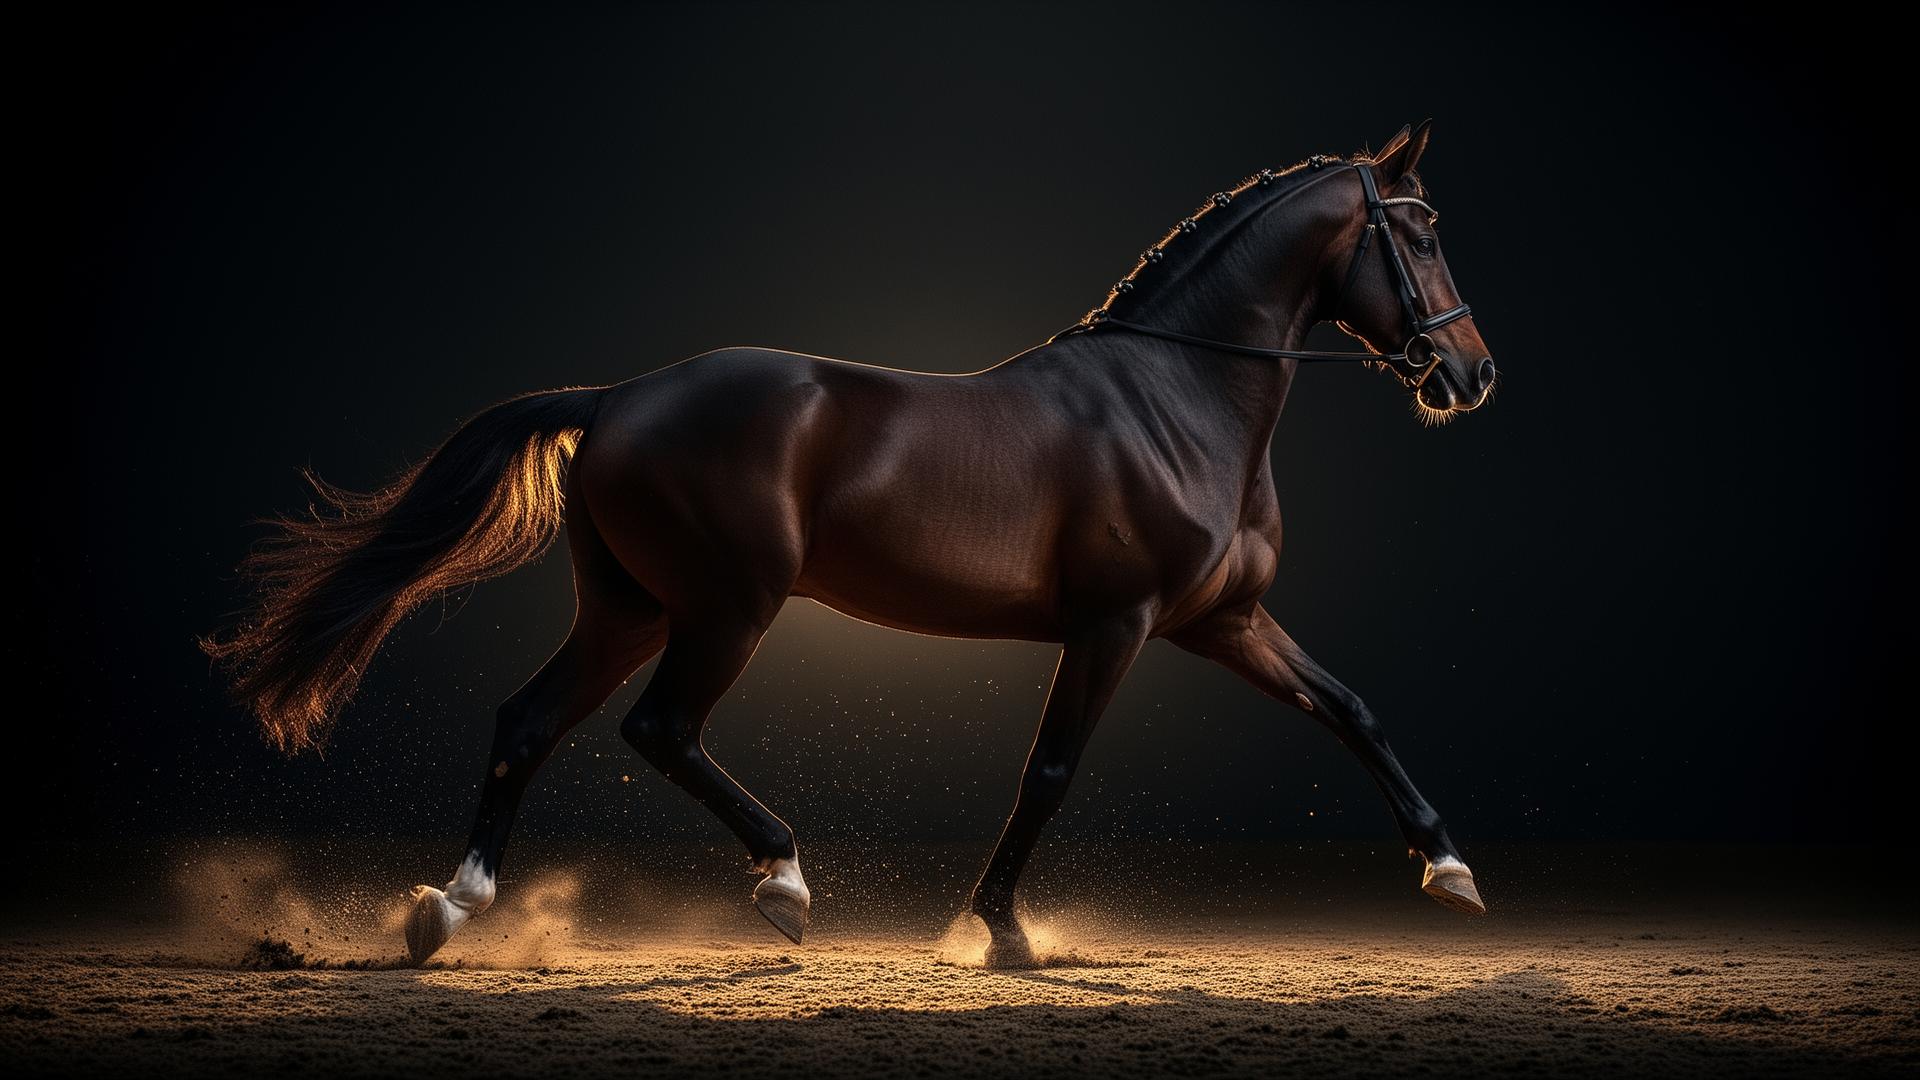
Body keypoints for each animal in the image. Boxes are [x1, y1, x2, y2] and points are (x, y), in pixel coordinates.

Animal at [204, 120, 1495, 968]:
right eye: (1421, 231)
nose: (1471, 373)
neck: (1173, 398)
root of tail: (618, 396)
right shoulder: (1115, 624)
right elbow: (1051, 770)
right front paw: (1002, 930)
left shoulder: (1221, 619)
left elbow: (1352, 710)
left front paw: (1451, 872)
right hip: (726, 605)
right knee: (658, 728)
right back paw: (783, 880)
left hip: (628, 606)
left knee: (530, 721)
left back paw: (448, 908)